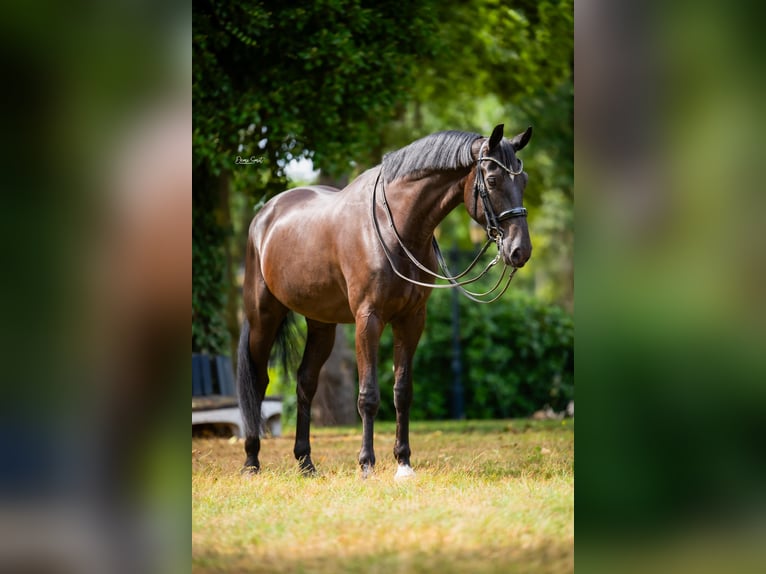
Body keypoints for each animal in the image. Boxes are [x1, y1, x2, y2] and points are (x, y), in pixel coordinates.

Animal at [237, 124, 532, 479]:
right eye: (491, 180)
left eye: (523, 180)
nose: (519, 250)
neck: (397, 229)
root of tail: (264, 216)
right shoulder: (369, 319)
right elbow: (368, 395)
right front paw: (366, 464)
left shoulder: (411, 319)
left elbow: (402, 392)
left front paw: (403, 463)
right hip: (263, 317)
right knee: (257, 381)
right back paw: (251, 461)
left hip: (321, 324)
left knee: (305, 382)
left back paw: (306, 462)